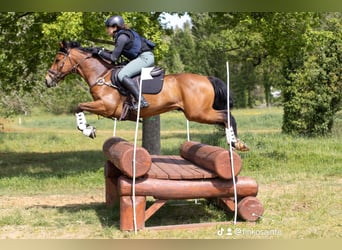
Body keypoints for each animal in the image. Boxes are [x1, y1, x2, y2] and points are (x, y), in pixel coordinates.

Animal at [46, 41, 248, 150]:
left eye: (57, 60)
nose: (47, 80)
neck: (101, 75)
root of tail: (206, 78)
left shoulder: (107, 106)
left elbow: (78, 106)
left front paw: (87, 129)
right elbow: (79, 107)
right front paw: (88, 128)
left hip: (197, 113)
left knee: (226, 116)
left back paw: (235, 142)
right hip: (198, 112)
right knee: (225, 117)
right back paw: (235, 142)